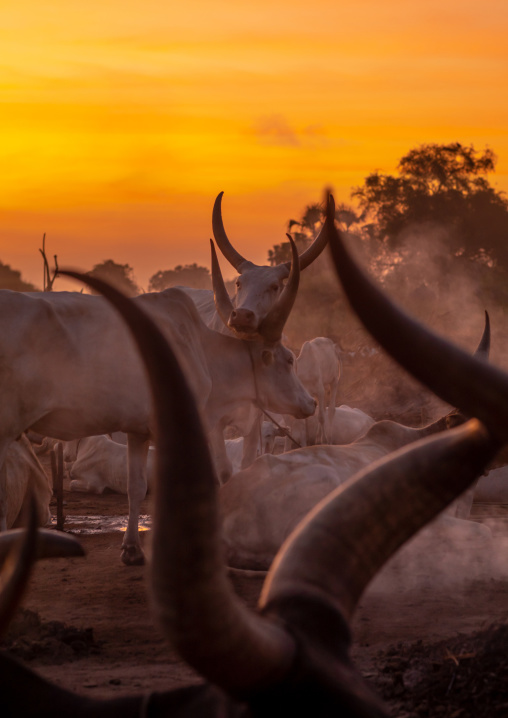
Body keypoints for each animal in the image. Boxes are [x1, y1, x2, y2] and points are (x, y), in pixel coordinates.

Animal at [0, 236, 315, 566]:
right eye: (289, 360)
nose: (312, 403)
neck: (198, 345)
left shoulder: (138, 431)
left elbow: (137, 486)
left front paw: (132, 550)